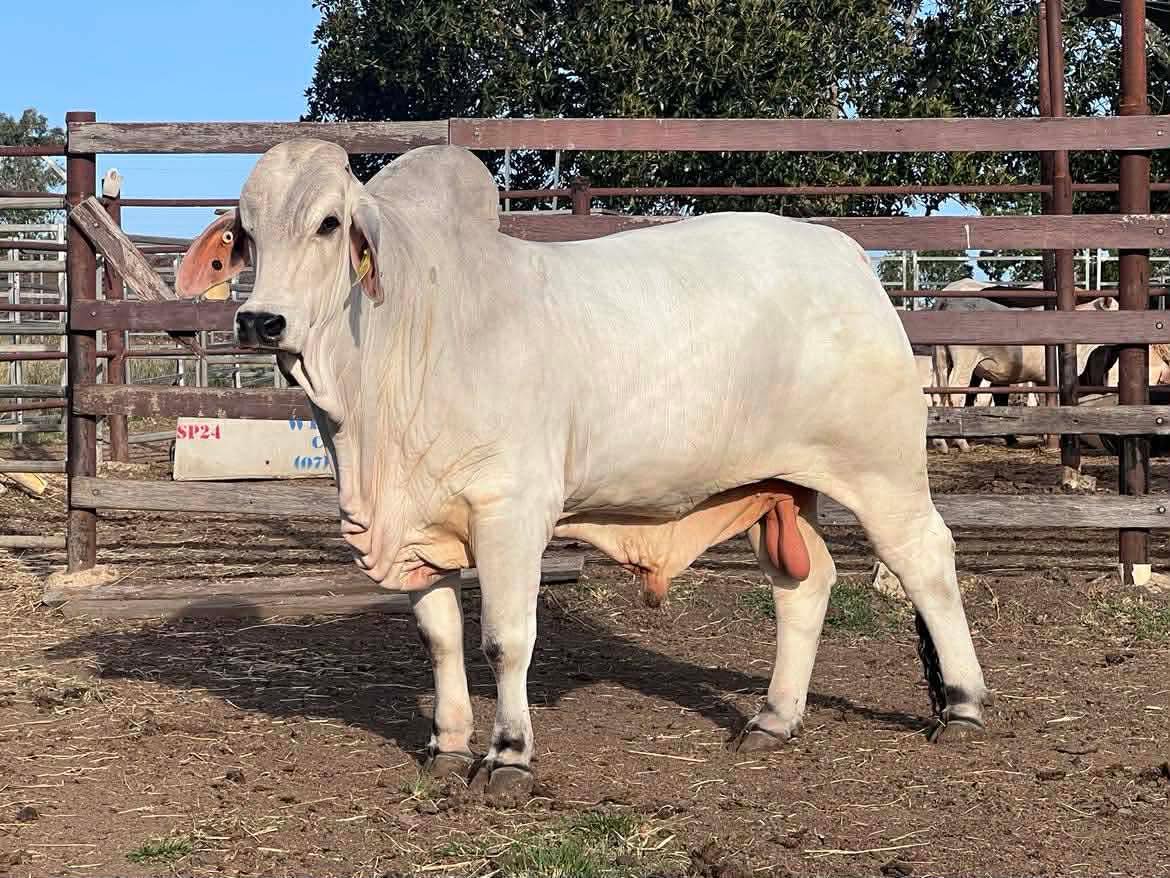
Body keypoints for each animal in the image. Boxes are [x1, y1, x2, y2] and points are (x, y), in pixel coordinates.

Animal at [175, 141, 989, 799]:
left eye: (327, 224)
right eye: (247, 232)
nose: (261, 321)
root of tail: (848, 259)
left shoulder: (509, 512)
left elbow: (505, 639)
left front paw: (507, 755)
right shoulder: (420, 528)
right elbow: (440, 638)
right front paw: (446, 745)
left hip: (881, 470)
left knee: (926, 560)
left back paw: (963, 705)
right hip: (777, 488)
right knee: (805, 585)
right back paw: (773, 718)